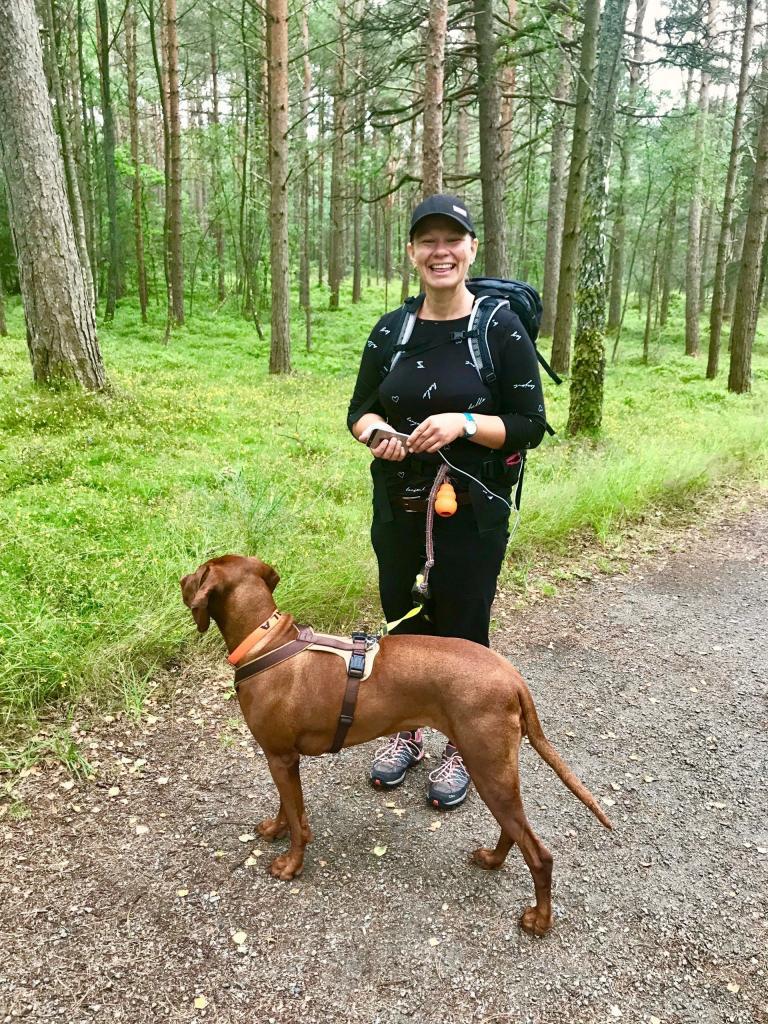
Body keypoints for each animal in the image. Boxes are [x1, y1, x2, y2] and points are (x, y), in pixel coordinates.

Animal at [180, 557, 614, 933]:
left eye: (197, 572)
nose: (179, 579)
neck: (265, 641)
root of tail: (512, 676)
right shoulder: (284, 759)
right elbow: (290, 809)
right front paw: (277, 828)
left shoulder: (280, 757)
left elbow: (295, 817)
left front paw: (291, 864)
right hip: (496, 770)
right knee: (514, 829)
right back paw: (492, 860)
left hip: (488, 765)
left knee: (539, 854)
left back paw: (539, 920)